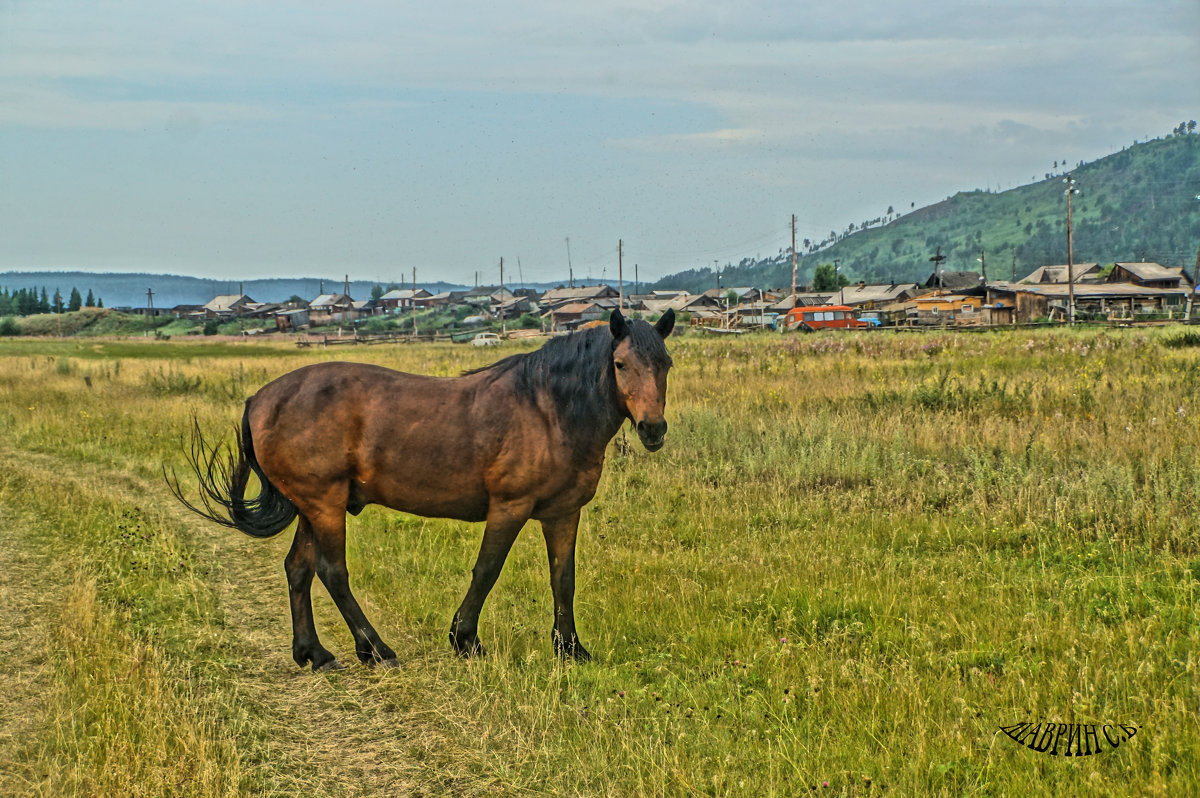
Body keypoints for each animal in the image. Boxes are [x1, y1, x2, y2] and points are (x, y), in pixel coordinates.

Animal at [169, 307, 676, 667]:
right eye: (620, 364)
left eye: (665, 363)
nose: (653, 429)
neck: (547, 409)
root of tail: (259, 399)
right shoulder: (509, 508)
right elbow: (486, 571)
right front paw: (465, 640)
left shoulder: (563, 513)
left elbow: (563, 579)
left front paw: (570, 649)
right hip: (325, 505)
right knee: (332, 572)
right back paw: (375, 650)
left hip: (313, 506)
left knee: (298, 569)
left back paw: (314, 654)